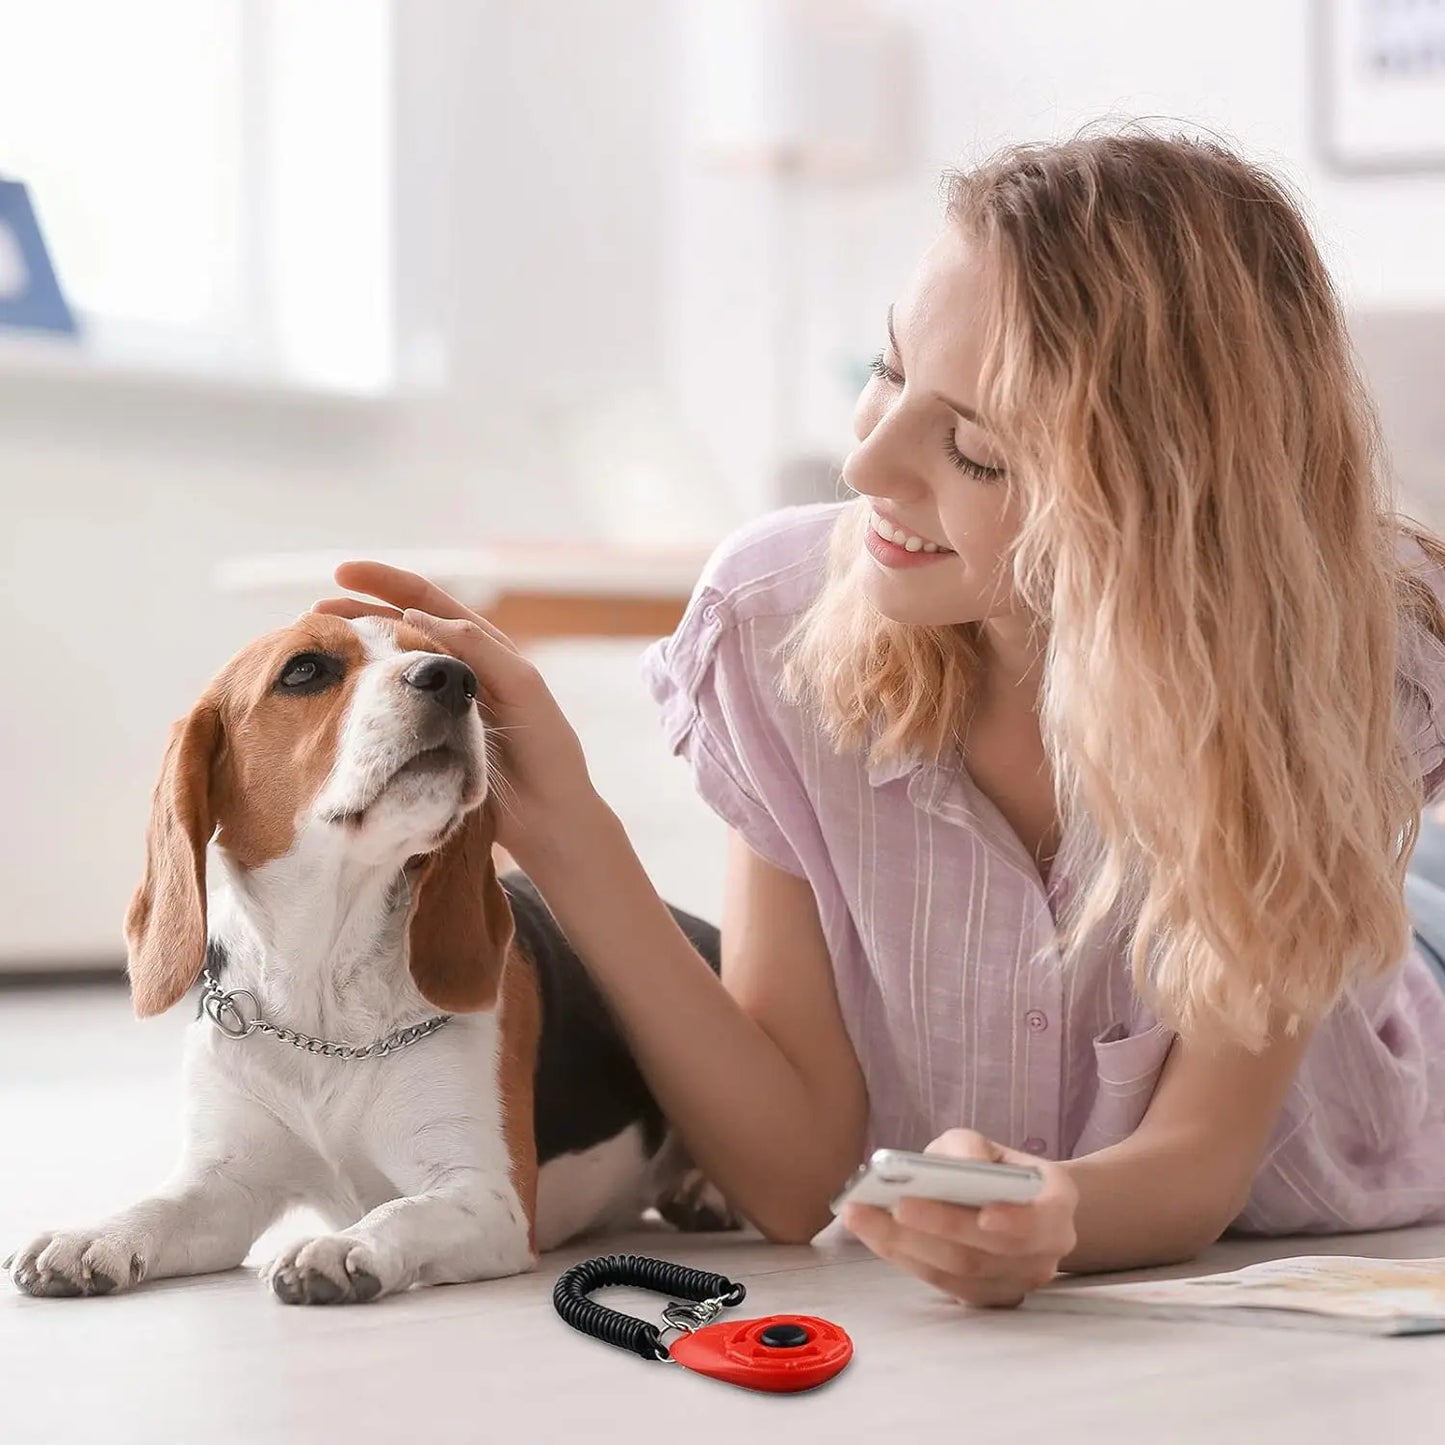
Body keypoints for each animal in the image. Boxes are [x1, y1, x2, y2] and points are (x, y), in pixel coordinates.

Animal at [8, 615, 734, 1306]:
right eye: (304, 670)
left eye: (451, 656)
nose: (454, 678)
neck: (324, 993)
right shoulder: (225, 1186)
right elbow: (157, 1206)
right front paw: (91, 1237)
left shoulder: (485, 1197)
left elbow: (399, 1212)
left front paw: (340, 1248)